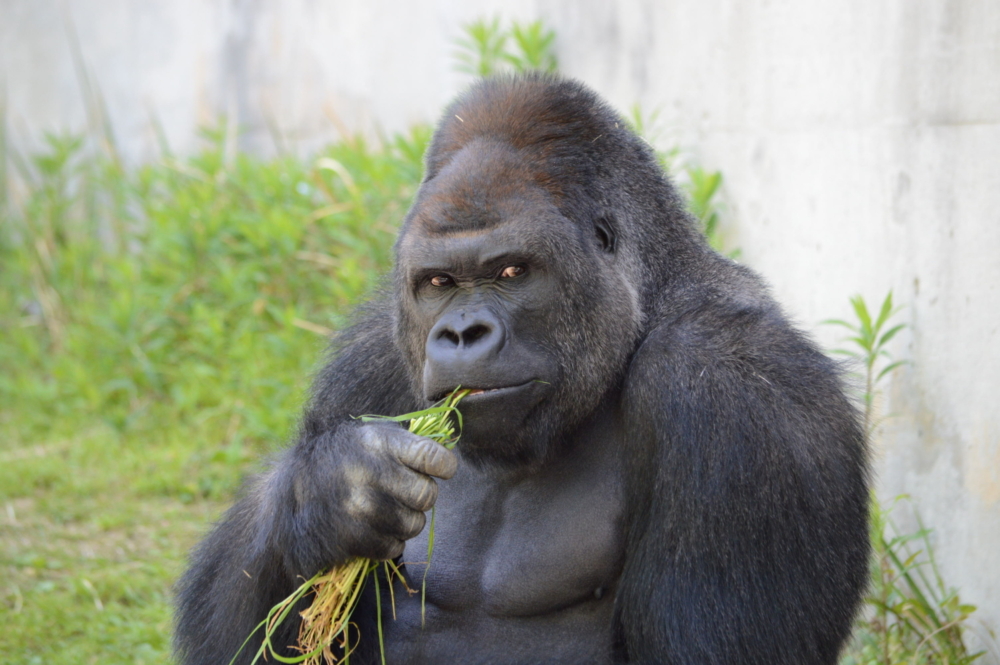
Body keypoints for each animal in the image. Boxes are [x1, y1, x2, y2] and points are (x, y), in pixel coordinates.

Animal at [176, 74, 872, 664]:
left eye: (511, 271)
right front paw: (330, 495)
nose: (461, 334)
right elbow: (244, 644)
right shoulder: (370, 357)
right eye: (439, 282)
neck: (646, 306)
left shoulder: (731, 396)